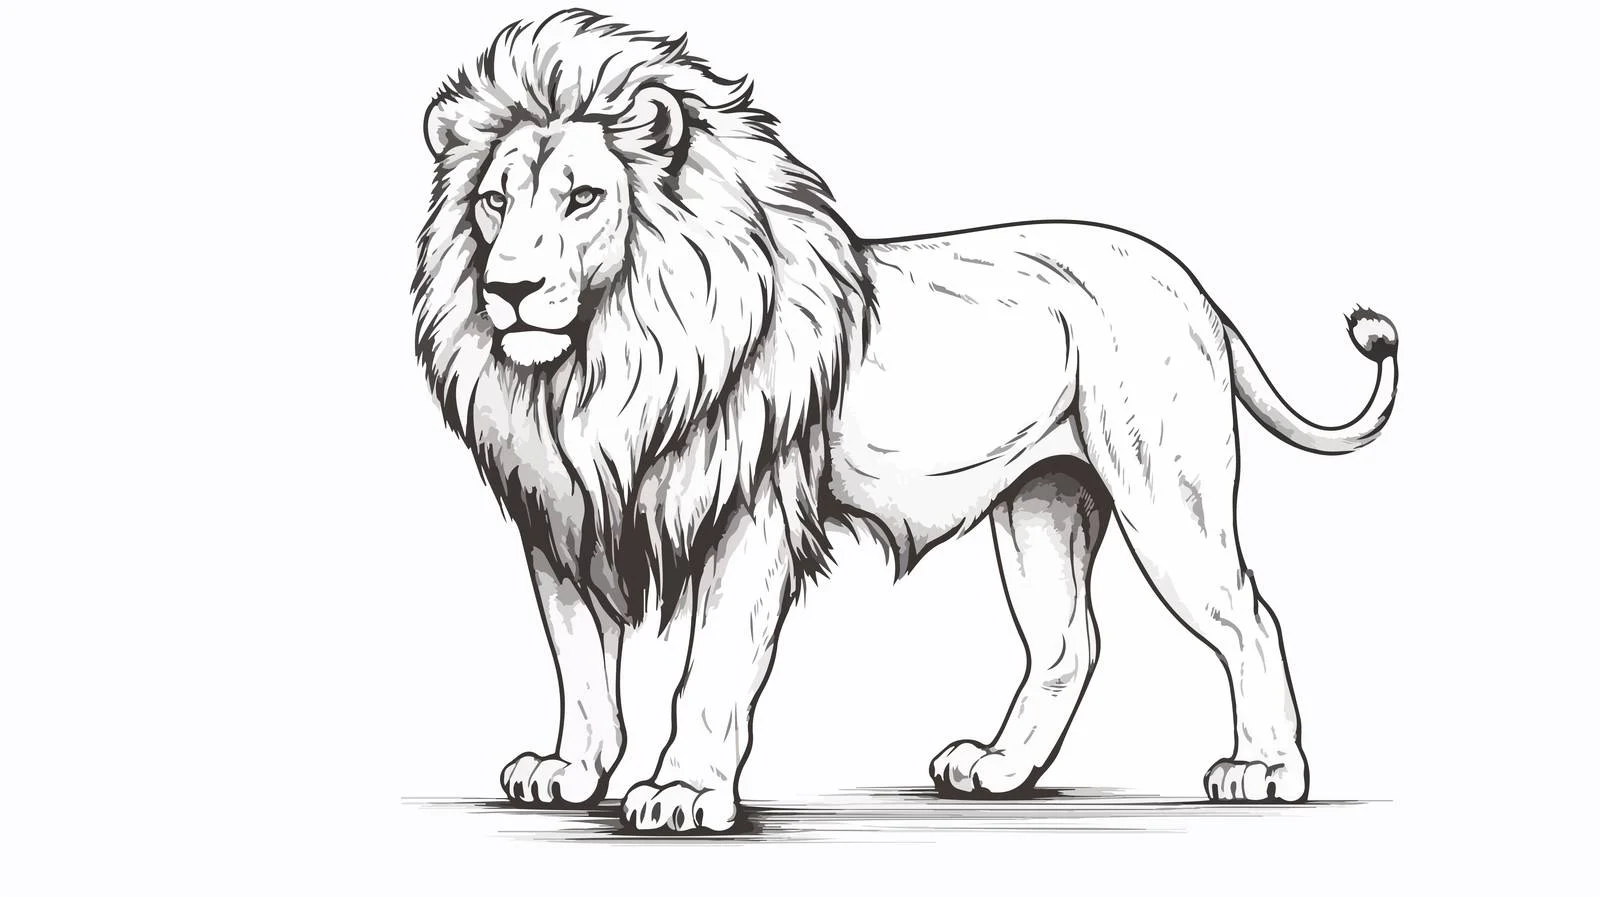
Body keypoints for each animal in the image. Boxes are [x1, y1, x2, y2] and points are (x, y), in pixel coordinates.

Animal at [413, 9, 1399, 832]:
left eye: (583, 198)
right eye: (495, 202)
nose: (508, 289)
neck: (600, 370)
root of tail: (1192, 287)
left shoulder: (753, 515)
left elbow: (713, 667)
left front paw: (686, 790)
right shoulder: (559, 519)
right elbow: (581, 664)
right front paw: (570, 772)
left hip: (1166, 494)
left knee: (1250, 615)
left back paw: (1266, 769)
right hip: (1043, 501)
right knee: (1068, 642)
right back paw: (998, 767)